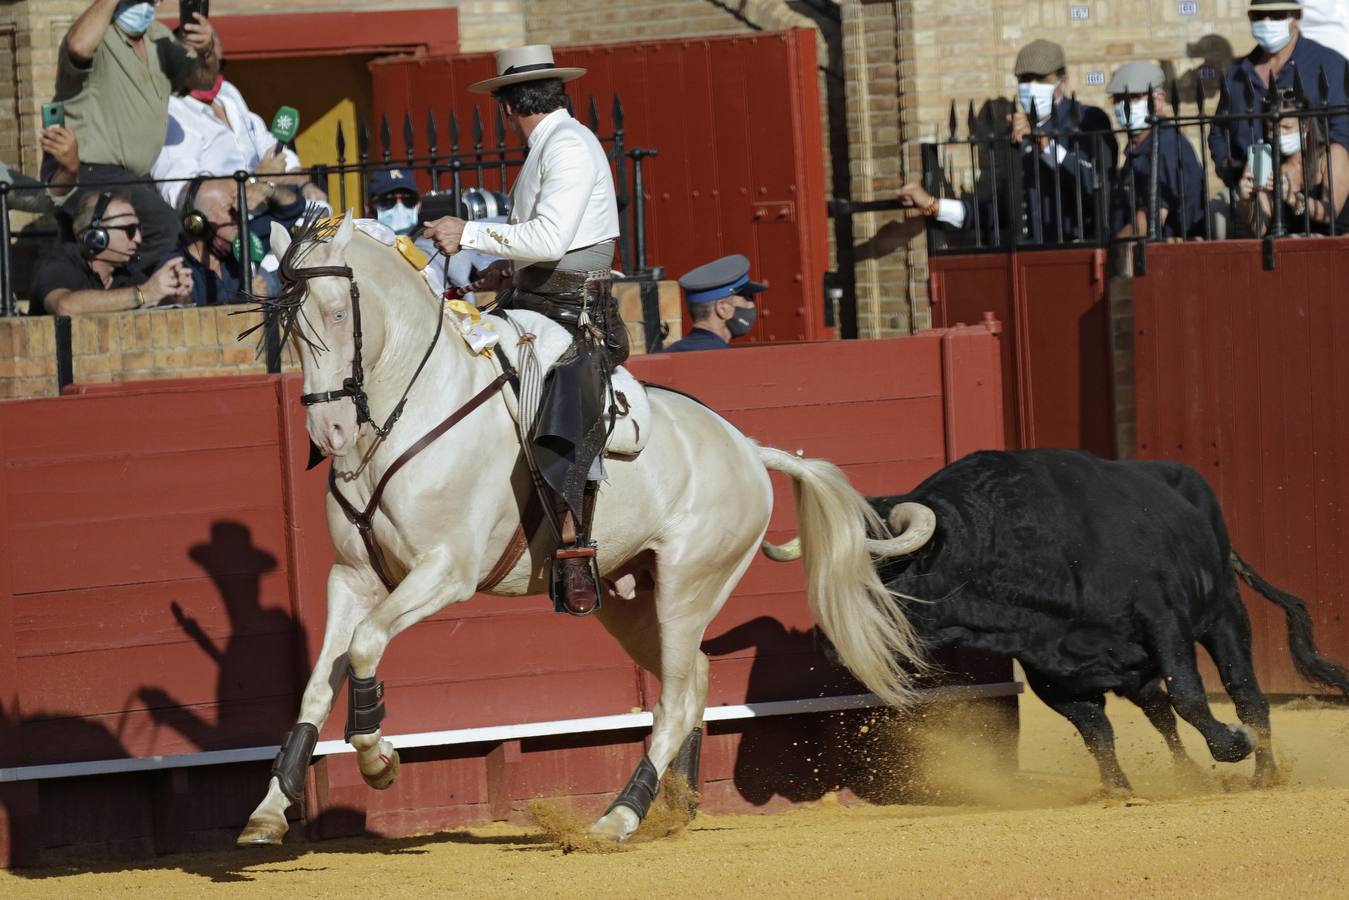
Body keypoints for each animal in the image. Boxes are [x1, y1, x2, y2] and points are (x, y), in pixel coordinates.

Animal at [237, 214, 928, 847]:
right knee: (692, 679)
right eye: (289, 330)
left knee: (674, 699)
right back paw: (675, 805)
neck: (413, 411)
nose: (329, 433)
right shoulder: (352, 577)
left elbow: (365, 646)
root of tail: (749, 449)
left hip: (689, 584)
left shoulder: (446, 571)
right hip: (625, 600)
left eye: (334, 314)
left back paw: (618, 817)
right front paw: (270, 810)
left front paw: (379, 759)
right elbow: (317, 686)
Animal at [868, 447, 1343, 788]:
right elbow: (1095, 728)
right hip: (1138, 669)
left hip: (1225, 611)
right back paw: (1188, 775)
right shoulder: (1050, 672)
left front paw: (1234, 743)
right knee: (1158, 709)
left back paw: (1265, 774)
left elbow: (1189, 694)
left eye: (883, 572)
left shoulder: (1163, 620)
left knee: (1245, 693)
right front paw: (1118, 789)